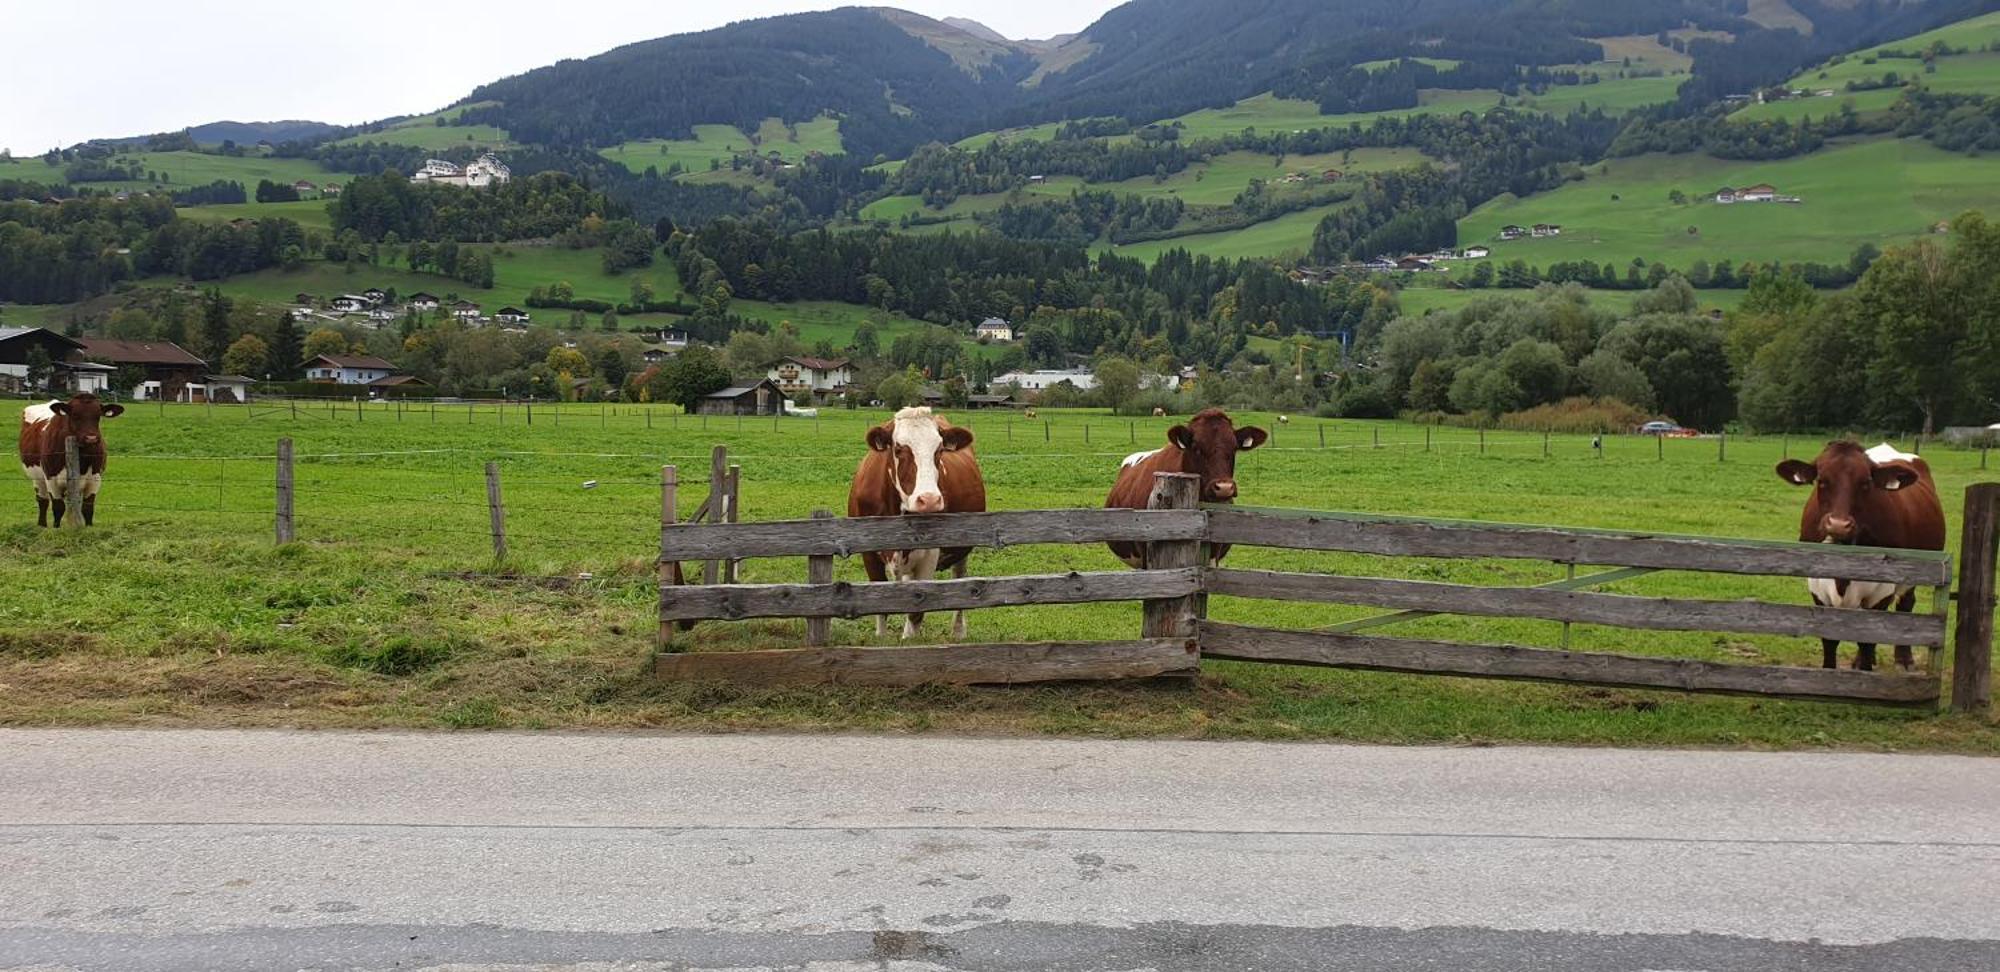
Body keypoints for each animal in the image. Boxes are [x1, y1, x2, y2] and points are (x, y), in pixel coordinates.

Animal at [17, 394, 125, 528]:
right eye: (74, 415)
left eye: (98, 416)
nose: (91, 438)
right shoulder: (51, 478)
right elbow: (58, 507)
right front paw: (56, 528)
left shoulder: (95, 479)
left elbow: (87, 508)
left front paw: (88, 527)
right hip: (37, 478)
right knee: (43, 501)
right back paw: (42, 525)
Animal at [848, 406, 988, 640]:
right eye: (897, 448)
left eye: (939, 449)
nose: (929, 499)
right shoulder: (867, 552)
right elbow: (879, 603)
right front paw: (881, 638)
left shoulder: (930, 554)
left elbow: (916, 607)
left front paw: (908, 639)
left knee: (960, 578)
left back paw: (958, 630)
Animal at [1776, 444, 1944, 672]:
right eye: (1822, 480)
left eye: (1866, 483)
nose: (1838, 525)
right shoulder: (1817, 587)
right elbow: (1831, 639)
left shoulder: (1883, 589)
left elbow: (1867, 638)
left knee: (1905, 605)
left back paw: (1904, 660)